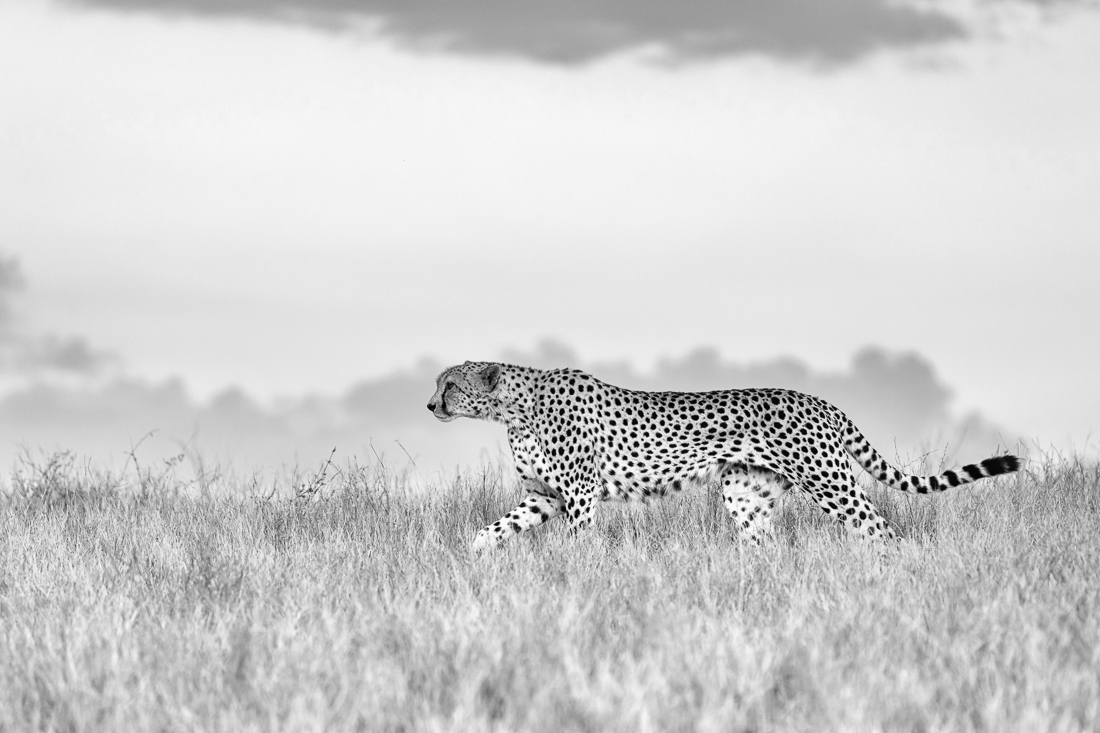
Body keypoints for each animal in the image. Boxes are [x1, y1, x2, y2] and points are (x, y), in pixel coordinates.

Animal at [427, 360, 1020, 552]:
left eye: (450, 384)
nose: (430, 404)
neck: (514, 407)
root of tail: (820, 399)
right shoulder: (543, 496)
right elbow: (493, 529)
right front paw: (471, 558)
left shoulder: (576, 493)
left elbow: (580, 540)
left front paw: (577, 573)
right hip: (745, 493)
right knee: (767, 545)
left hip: (830, 483)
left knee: (882, 530)